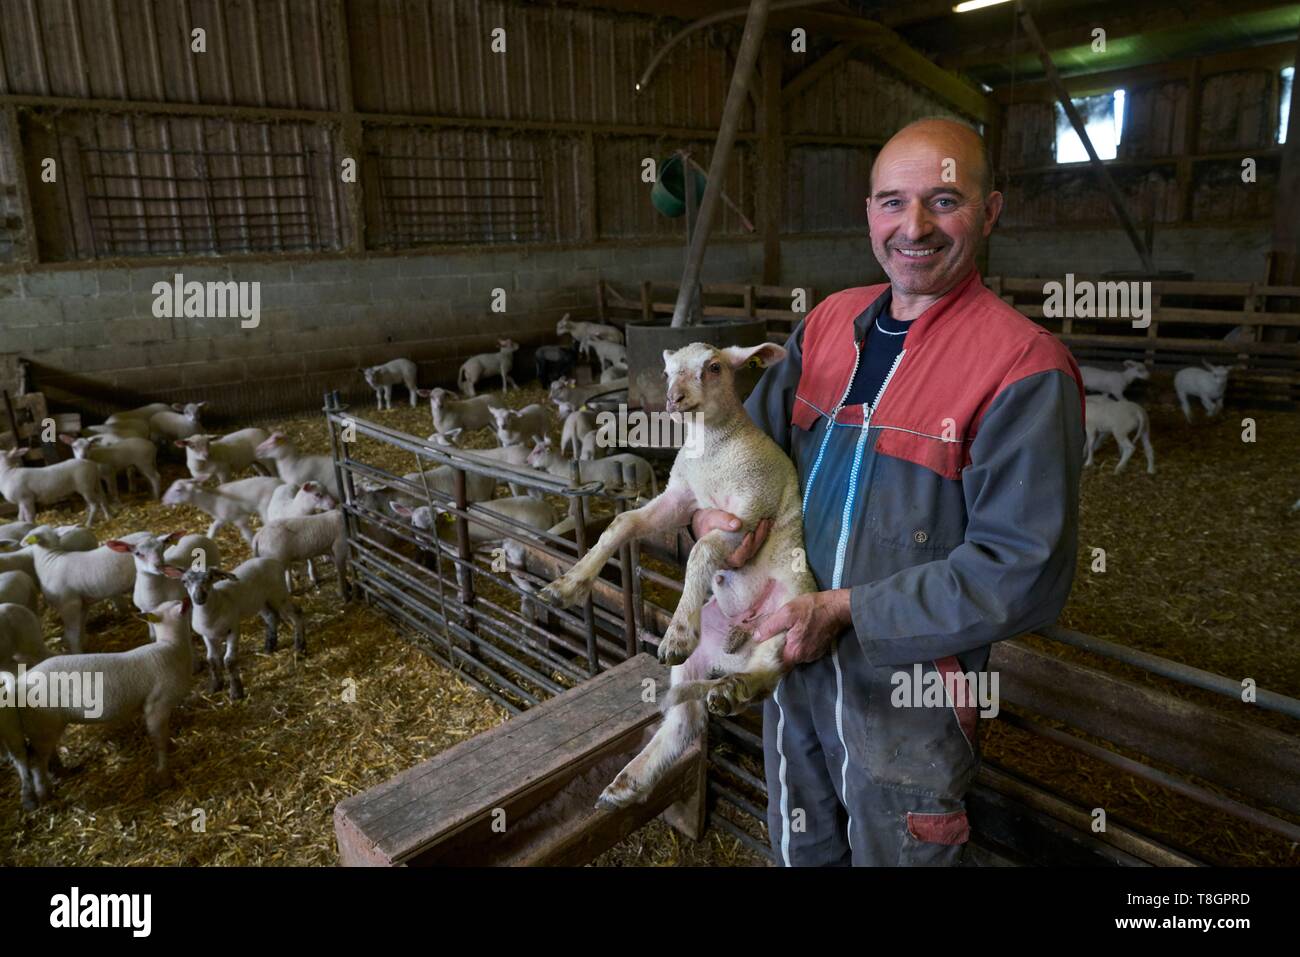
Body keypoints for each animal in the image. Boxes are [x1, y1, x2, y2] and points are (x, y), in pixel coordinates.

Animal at [538, 343, 811, 806]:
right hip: (702, 654)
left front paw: (678, 633)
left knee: (772, 669)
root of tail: (737, 648)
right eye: (667, 371)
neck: (714, 451)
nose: (673, 398)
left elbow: (701, 552)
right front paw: (569, 584)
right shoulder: (681, 499)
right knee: (685, 721)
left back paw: (734, 689)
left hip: (789, 611)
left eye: (714, 367)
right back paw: (629, 781)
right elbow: (623, 523)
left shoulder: (748, 511)